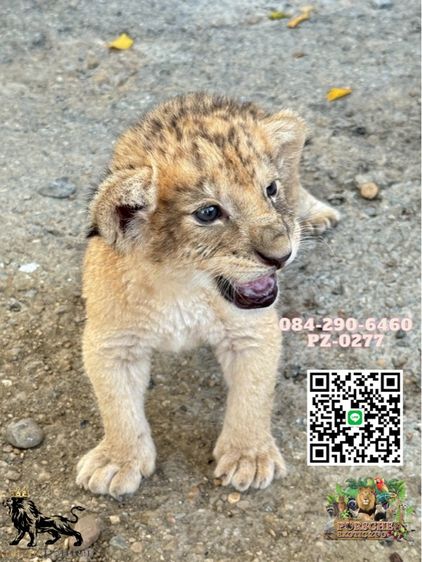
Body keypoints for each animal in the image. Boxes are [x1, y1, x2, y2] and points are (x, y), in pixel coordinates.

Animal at [76, 93, 339, 498]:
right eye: (209, 212)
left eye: (270, 190)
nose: (282, 256)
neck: (182, 288)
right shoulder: (110, 342)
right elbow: (116, 404)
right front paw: (118, 460)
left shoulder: (253, 332)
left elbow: (253, 396)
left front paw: (249, 457)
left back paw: (317, 214)